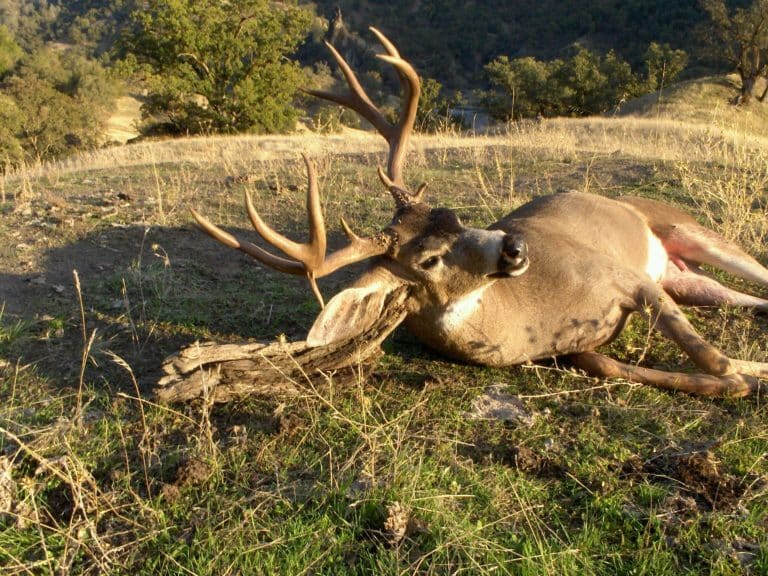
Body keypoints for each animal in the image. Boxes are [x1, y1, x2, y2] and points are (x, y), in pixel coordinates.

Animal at [190, 27, 768, 396]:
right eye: (427, 260)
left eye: (454, 215)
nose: (513, 246)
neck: (532, 315)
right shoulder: (584, 336)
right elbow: (619, 365)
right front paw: (749, 373)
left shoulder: (628, 277)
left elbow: (714, 360)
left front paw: (749, 371)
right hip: (685, 279)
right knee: (746, 300)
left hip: (688, 229)